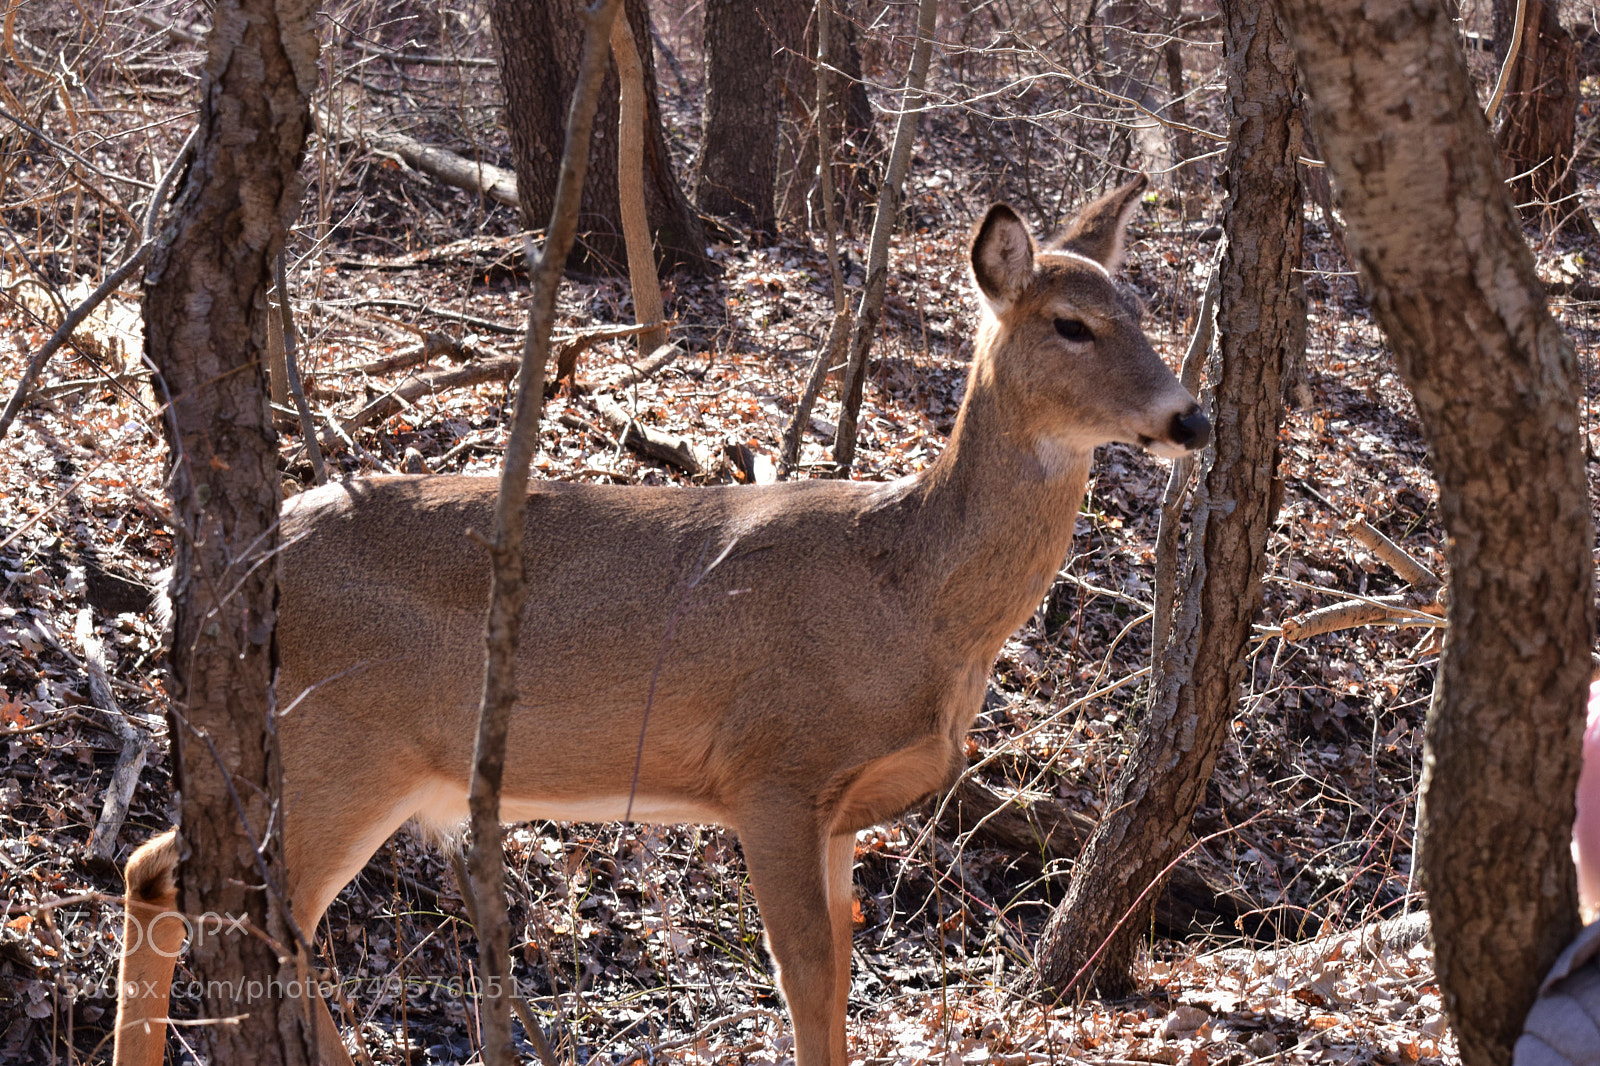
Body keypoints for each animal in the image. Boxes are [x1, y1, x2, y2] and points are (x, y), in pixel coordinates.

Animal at [112, 175, 1209, 1066]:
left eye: (1141, 312)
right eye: (1070, 323)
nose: (1190, 417)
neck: (913, 598)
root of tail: (200, 578)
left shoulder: (839, 808)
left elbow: (840, 971)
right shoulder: (775, 767)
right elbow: (804, 976)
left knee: (164, 877)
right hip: (337, 740)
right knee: (219, 897)